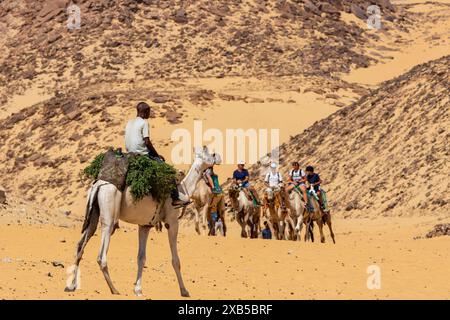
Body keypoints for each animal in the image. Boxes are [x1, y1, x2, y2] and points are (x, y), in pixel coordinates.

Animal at [65, 146, 221, 296]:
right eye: (212, 154)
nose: (219, 158)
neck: (183, 190)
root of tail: (99, 185)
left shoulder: (145, 225)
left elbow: (141, 257)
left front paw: (138, 290)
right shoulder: (172, 222)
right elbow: (176, 260)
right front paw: (184, 291)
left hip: (94, 211)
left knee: (80, 245)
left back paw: (71, 285)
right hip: (109, 211)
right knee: (101, 255)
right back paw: (114, 289)